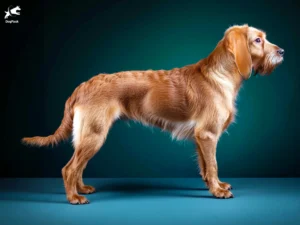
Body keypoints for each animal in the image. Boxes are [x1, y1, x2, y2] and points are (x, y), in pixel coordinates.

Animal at [22, 24, 284, 204]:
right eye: (258, 40)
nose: (282, 51)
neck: (219, 75)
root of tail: (83, 86)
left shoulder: (200, 138)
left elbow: (206, 167)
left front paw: (216, 185)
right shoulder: (208, 135)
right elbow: (214, 164)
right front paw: (218, 191)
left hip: (87, 135)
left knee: (78, 166)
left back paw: (82, 189)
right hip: (94, 135)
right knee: (69, 168)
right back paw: (74, 198)